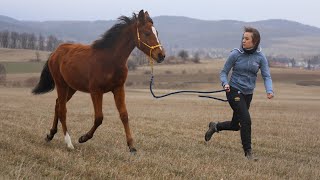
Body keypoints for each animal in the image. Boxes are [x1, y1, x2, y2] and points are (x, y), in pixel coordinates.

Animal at [32, 9, 166, 153]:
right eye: (146, 33)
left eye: (157, 32)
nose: (161, 55)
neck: (110, 60)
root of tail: (55, 52)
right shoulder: (96, 91)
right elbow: (99, 117)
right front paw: (83, 138)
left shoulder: (119, 88)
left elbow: (124, 115)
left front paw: (132, 147)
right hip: (61, 84)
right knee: (62, 109)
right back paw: (69, 143)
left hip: (71, 87)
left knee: (57, 105)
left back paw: (50, 135)